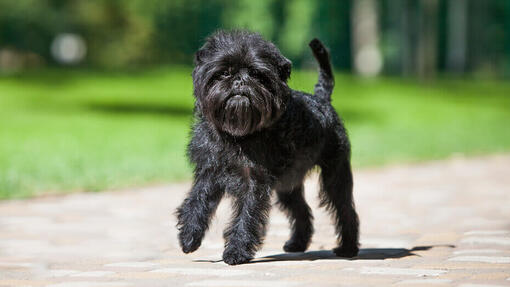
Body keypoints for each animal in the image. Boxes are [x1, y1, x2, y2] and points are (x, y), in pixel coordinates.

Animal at [177, 29, 360, 266]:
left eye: (256, 74)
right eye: (224, 73)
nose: (239, 81)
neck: (237, 135)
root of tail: (322, 98)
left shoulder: (253, 180)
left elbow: (247, 214)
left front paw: (236, 251)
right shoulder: (209, 171)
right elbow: (196, 202)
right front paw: (189, 236)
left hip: (334, 173)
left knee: (344, 208)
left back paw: (348, 248)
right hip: (288, 184)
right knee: (301, 210)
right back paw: (297, 244)